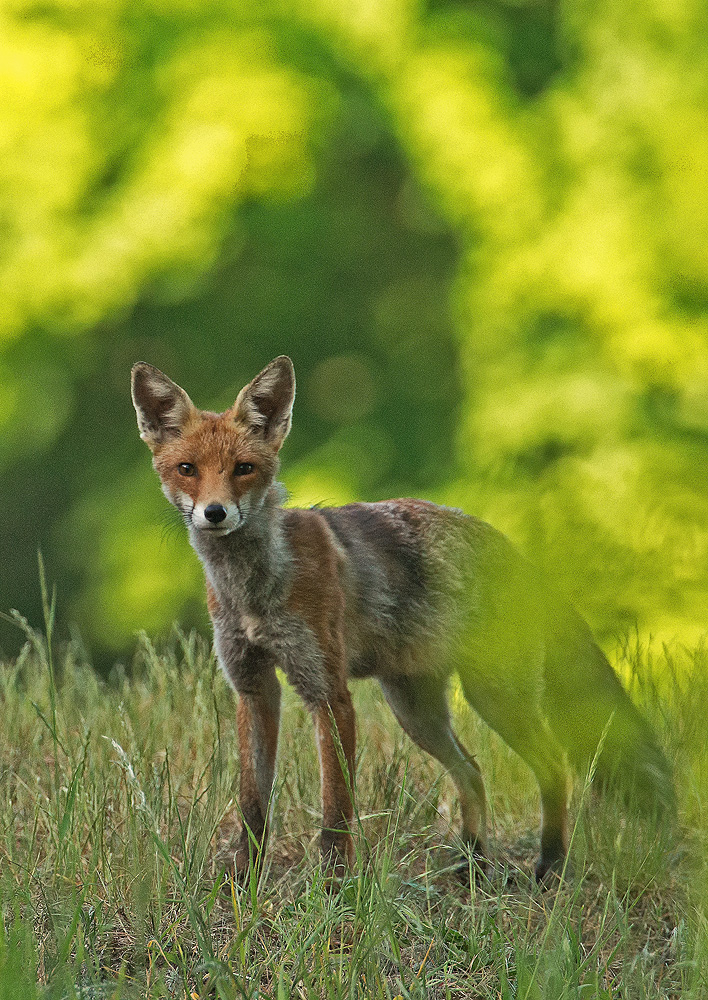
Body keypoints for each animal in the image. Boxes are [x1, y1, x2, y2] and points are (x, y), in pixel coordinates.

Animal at [131, 355, 673, 882]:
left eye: (243, 468)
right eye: (187, 469)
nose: (215, 513)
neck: (255, 591)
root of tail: (513, 551)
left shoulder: (328, 691)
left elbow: (336, 810)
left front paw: (334, 888)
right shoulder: (253, 687)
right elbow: (252, 805)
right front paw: (242, 882)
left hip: (495, 696)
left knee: (554, 765)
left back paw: (550, 864)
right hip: (416, 710)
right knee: (472, 771)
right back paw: (471, 865)